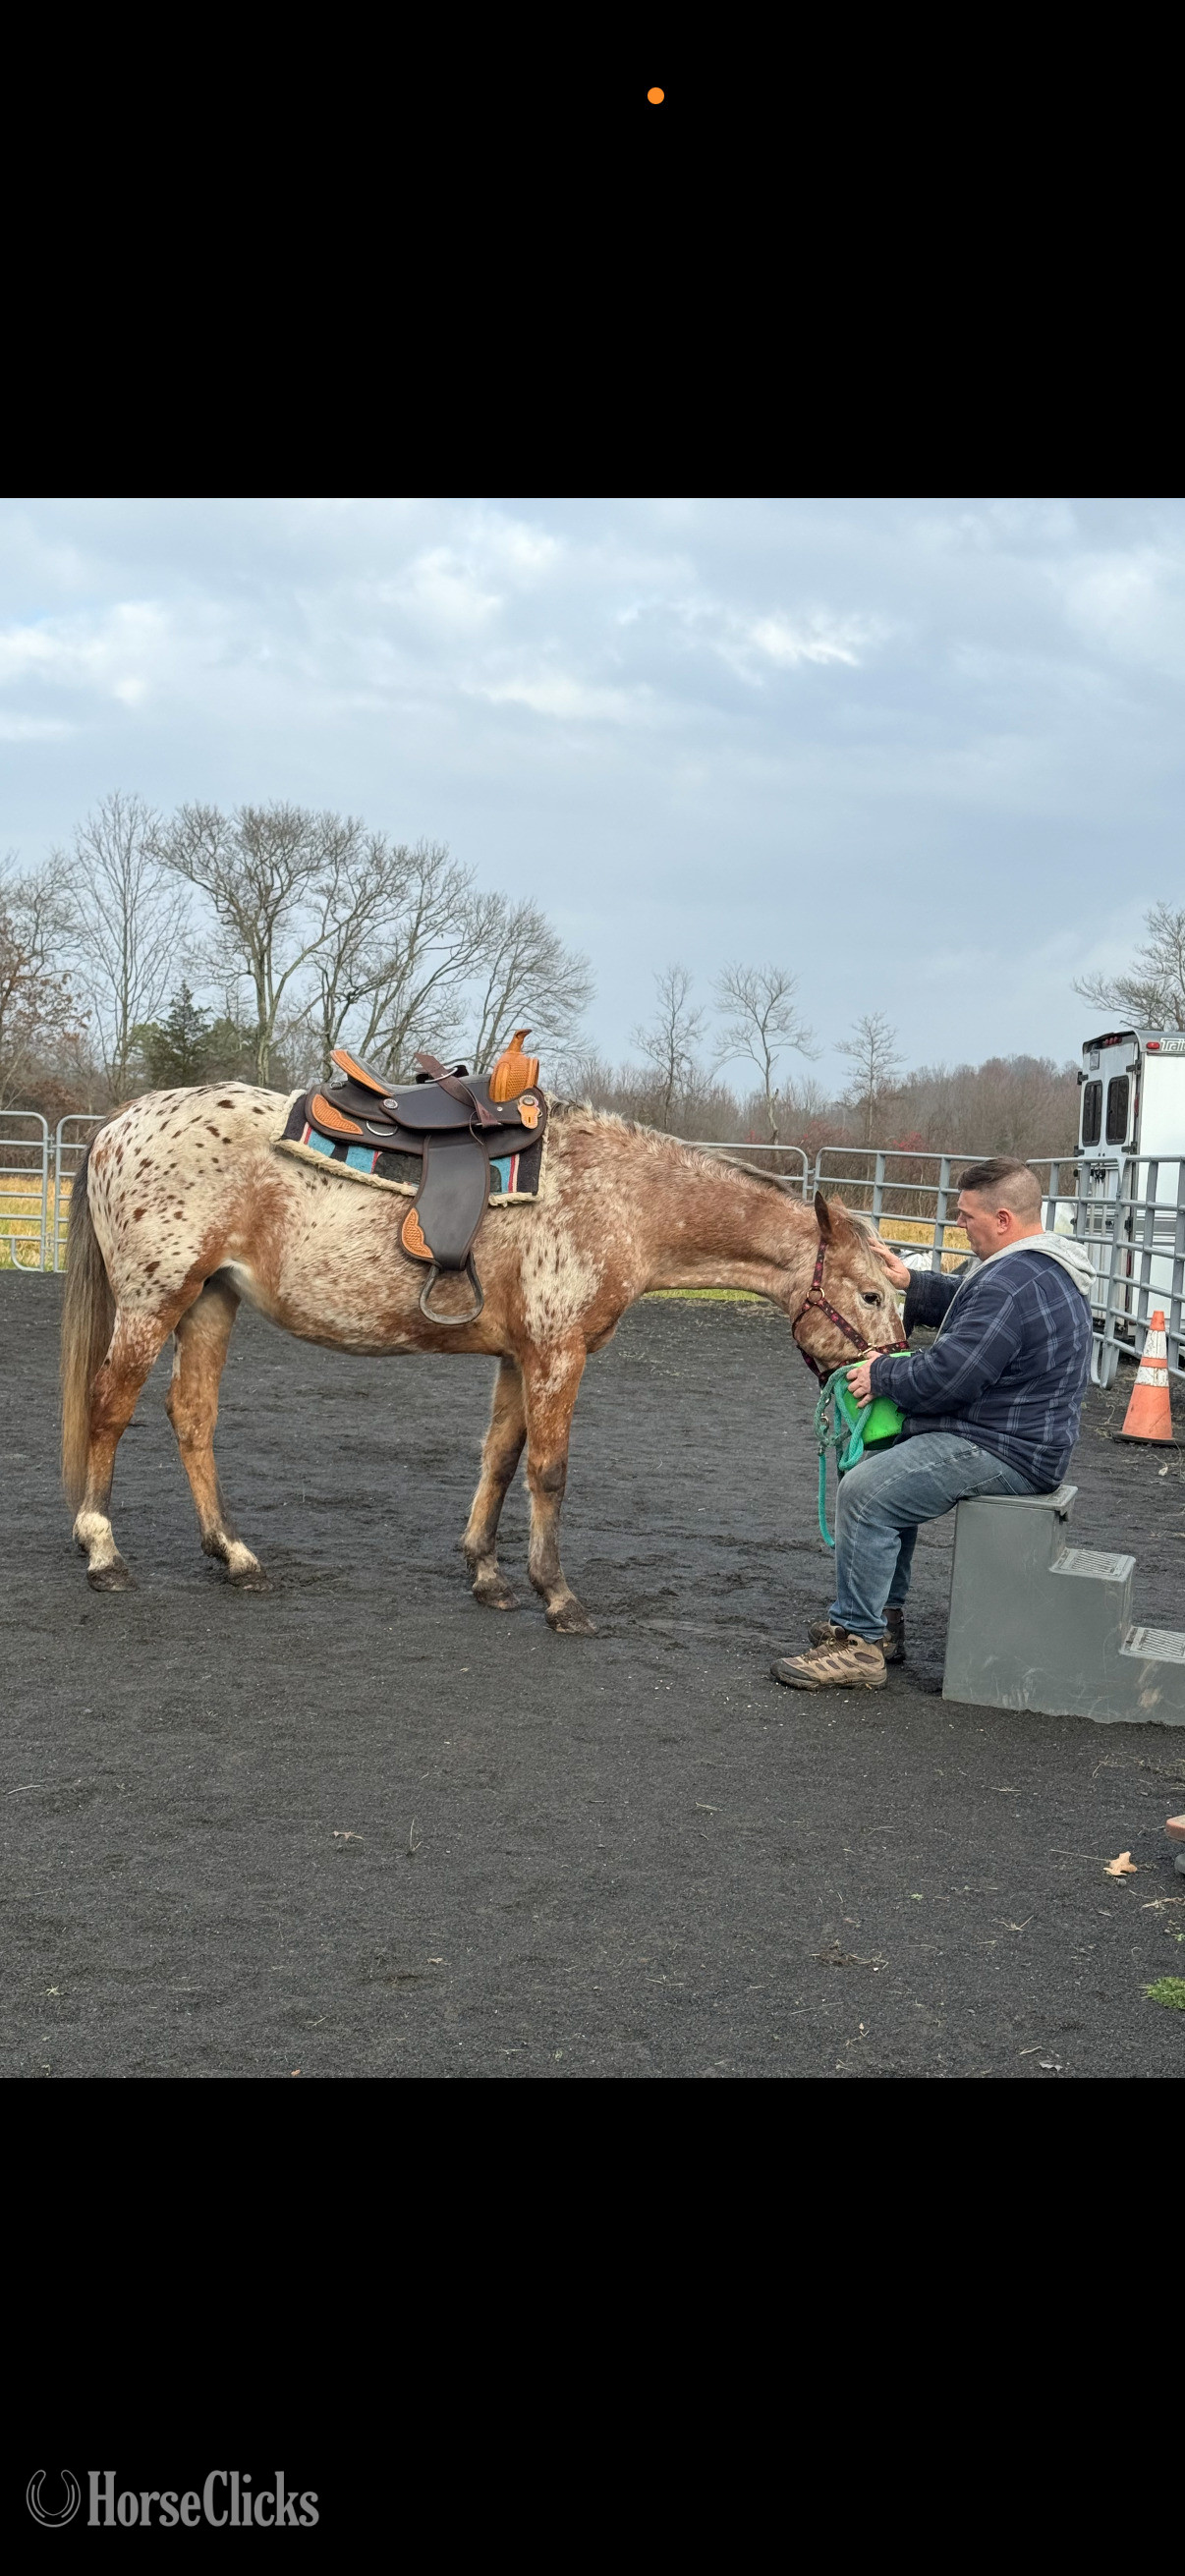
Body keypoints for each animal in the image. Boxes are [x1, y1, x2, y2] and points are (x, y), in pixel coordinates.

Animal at [60, 1082, 906, 1631]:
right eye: (870, 1294)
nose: (887, 1379)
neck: (621, 1199)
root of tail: (119, 1122)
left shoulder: (517, 1356)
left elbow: (499, 1457)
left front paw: (487, 1573)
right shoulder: (558, 1355)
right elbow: (548, 1473)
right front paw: (557, 1596)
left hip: (209, 1301)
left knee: (191, 1416)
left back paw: (234, 1556)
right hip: (154, 1301)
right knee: (109, 1406)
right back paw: (101, 1553)